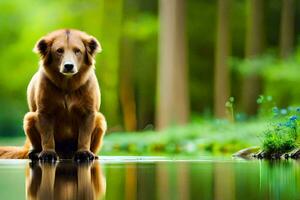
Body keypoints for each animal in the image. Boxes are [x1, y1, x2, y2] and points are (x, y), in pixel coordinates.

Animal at [0, 28, 106, 162]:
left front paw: (84, 153)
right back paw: (35, 153)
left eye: (77, 50)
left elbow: (85, 135)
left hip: (100, 119)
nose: (68, 66)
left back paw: (94, 155)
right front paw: (48, 154)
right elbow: (47, 135)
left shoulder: (88, 111)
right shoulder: (45, 110)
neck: (67, 86)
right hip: (29, 118)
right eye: (59, 50)